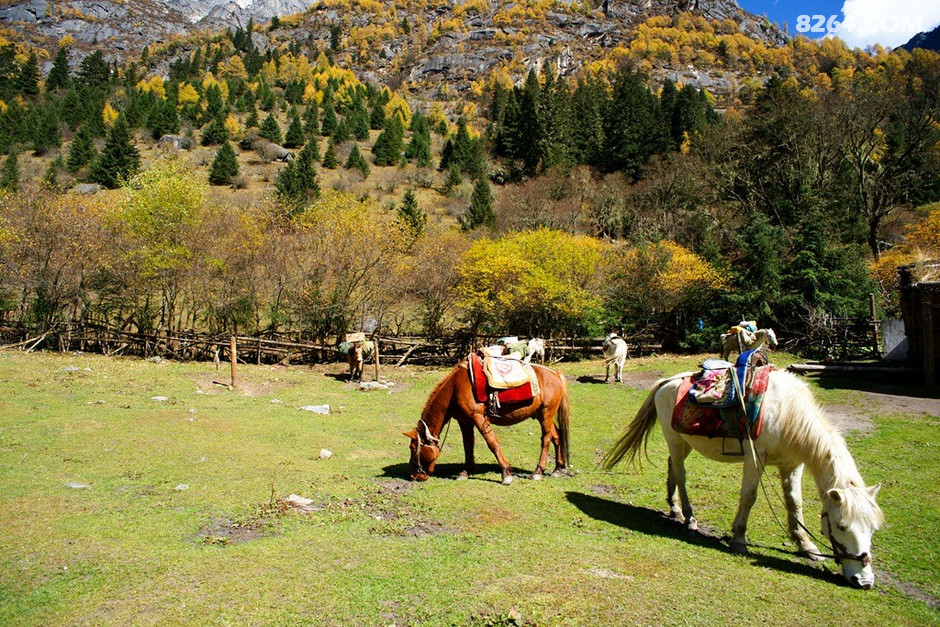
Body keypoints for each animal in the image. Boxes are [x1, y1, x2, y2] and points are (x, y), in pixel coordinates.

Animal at [402, 358, 568, 486]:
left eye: (413, 448)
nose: (413, 476)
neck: (455, 388)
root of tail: (556, 374)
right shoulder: (465, 420)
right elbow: (468, 445)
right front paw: (466, 471)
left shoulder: (479, 418)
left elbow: (492, 443)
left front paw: (506, 474)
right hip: (541, 415)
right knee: (557, 436)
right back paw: (557, 469)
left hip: (546, 413)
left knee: (546, 439)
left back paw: (538, 471)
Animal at [604, 368, 880, 588]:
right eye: (841, 526)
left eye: (873, 529)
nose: (864, 581)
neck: (786, 414)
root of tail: (666, 382)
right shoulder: (755, 458)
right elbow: (749, 496)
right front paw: (738, 539)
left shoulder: (793, 464)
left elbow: (794, 501)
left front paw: (806, 545)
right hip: (674, 438)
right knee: (681, 475)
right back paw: (689, 519)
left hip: (685, 442)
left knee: (672, 466)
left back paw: (674, 509)